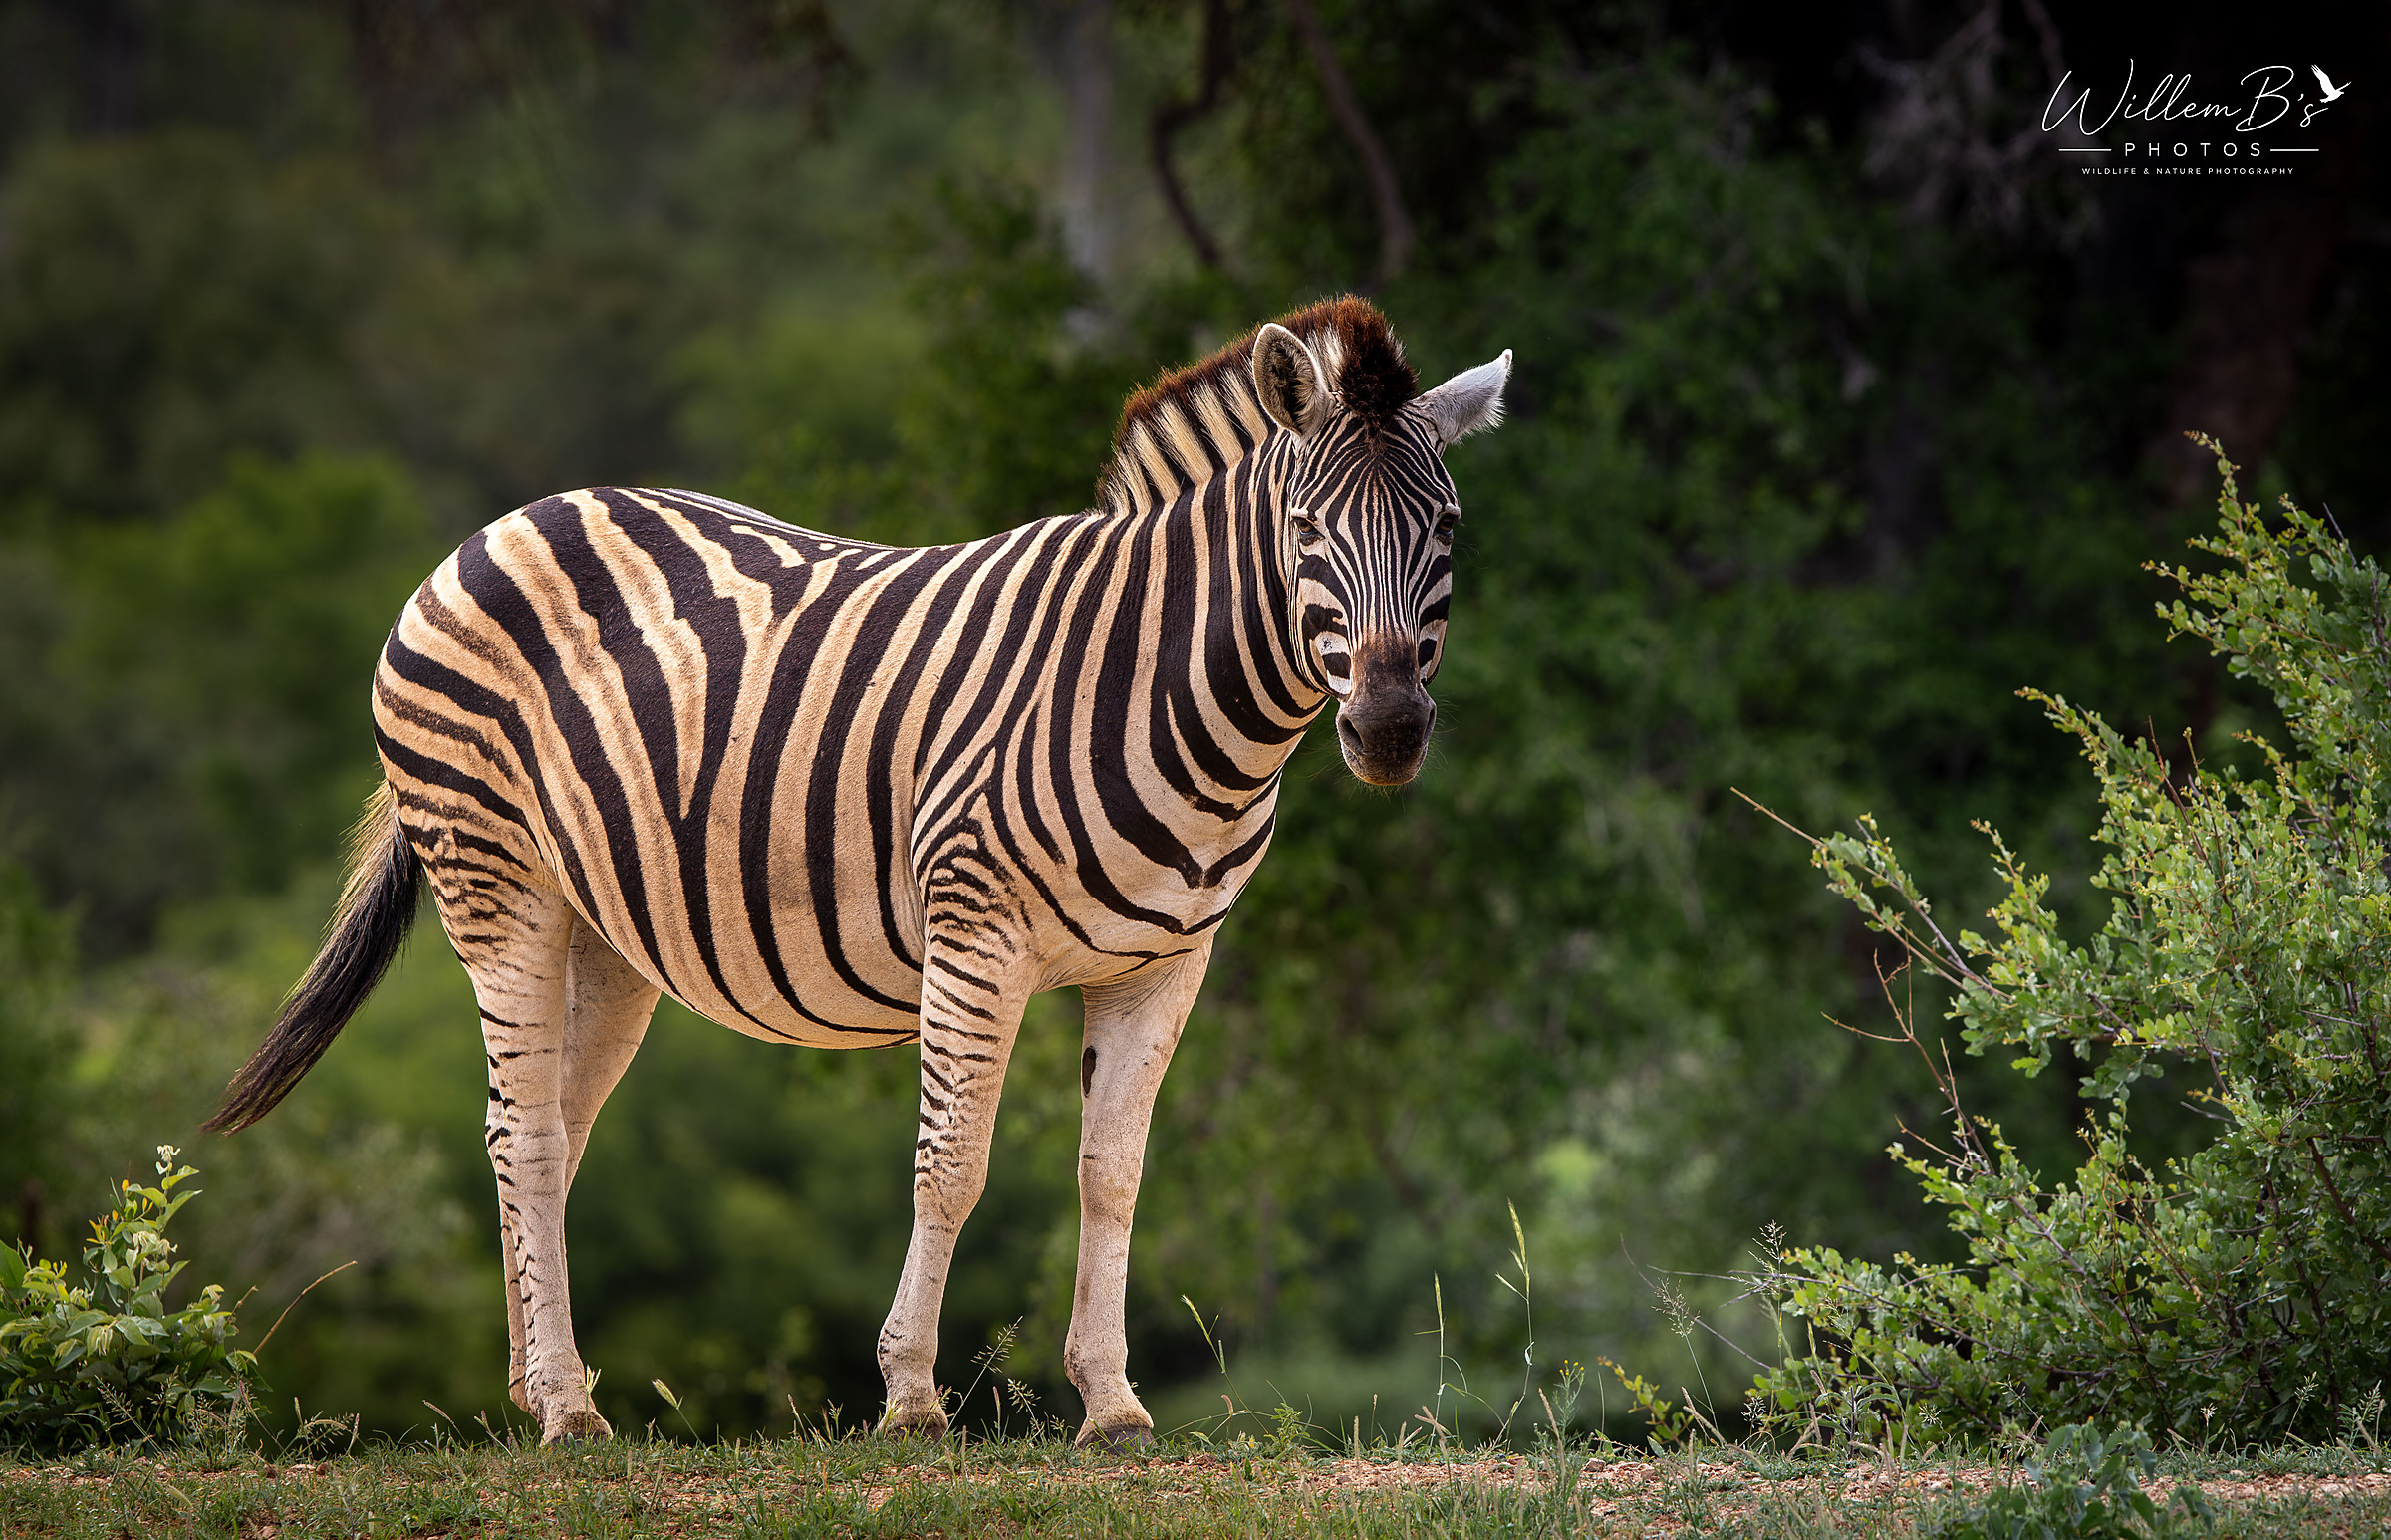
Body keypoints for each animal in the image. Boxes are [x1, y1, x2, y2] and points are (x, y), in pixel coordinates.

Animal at [207, 295, 1510, 1449]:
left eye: (1446, 535)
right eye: (1309, 536)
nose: (1390, 730)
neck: (1167, 688)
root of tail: (509, 521)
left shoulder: (1164, 964)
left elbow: (1112, 1175)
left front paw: (1113, 1405)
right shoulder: (976, 933)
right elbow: (953, 1164)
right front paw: (913, 1399)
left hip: (606, 932)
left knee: (548, 1133)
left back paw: (537, 1389)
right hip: (498, 882)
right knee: (521, 1134)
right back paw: (572, 1411)